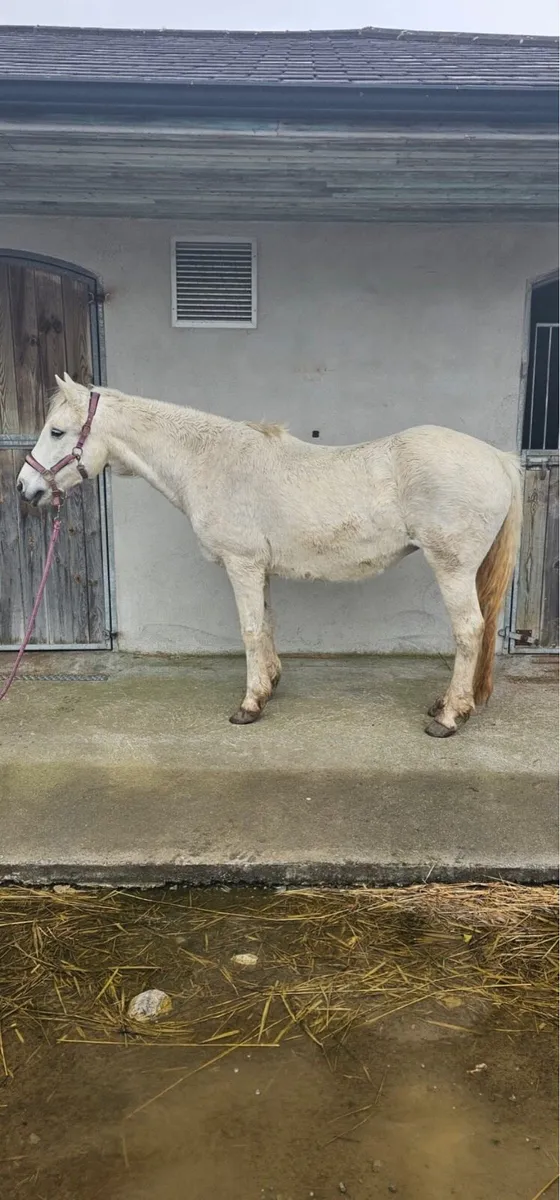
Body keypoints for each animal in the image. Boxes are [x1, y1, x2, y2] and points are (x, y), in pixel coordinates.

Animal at [17, 374, 522, 737]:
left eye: (57, 431)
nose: (25, 487)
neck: (208, 460)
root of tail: (498, 458)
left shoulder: (241, 564)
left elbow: (250, 629)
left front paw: (249, 704)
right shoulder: (259, 568)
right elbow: (267, 623)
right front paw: (270, 685)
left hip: (452, 566)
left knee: (469, 631)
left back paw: (449, 718)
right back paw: (449, 704)